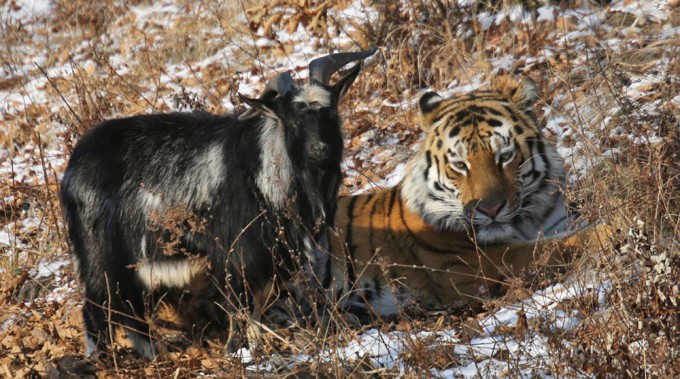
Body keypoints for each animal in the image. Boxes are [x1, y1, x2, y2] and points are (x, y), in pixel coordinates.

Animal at [60, 48, 374, 360]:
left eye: (330, 111)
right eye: (293, 121)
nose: (320, 149)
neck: (264, 167)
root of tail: (73, 168)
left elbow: (255, 311)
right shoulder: (234, 255)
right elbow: (240, 310)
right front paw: (238, 351)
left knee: (131, 311)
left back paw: (155, 355)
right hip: (102, 258)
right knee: (98, 309)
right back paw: (103, 360)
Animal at [328, 75, 604, 320]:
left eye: (505, 156)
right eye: (460, 165)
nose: (490, 209)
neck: (528, 222)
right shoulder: (474, 266)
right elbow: (555, 247)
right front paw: (608, 230)